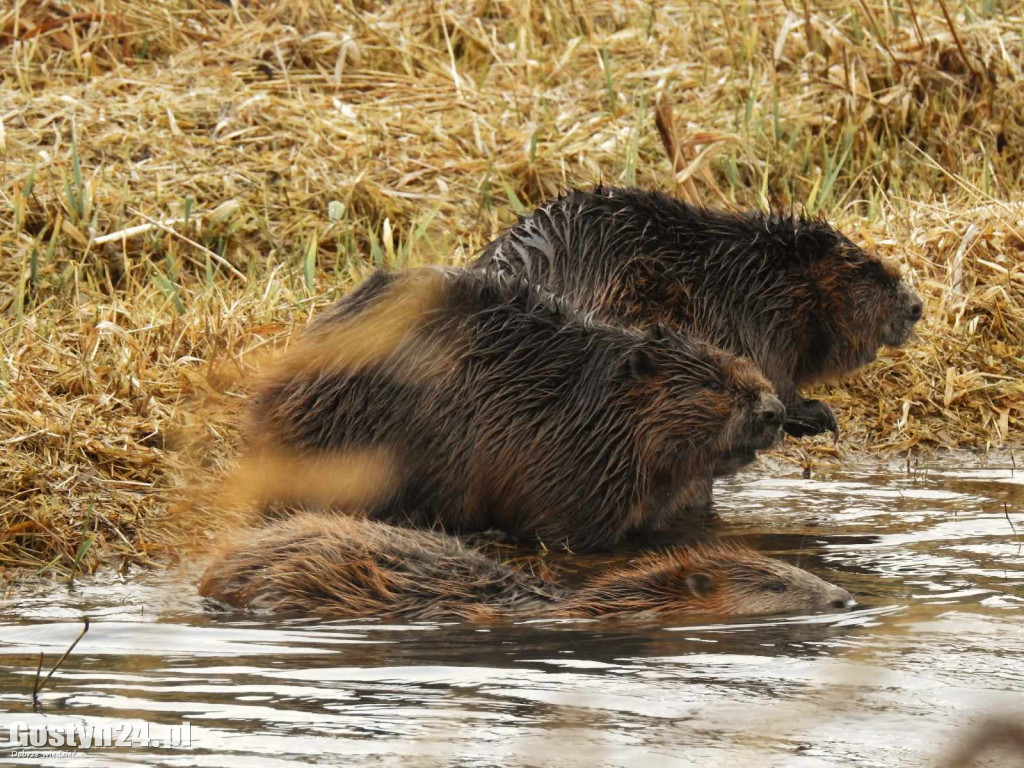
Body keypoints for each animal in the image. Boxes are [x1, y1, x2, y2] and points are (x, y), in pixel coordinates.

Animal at [475, 187, 925, 448]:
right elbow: (774, 380)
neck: (760, 277)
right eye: (872, 270)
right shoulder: (762, 322)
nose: (917, 306)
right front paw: (821, 415)